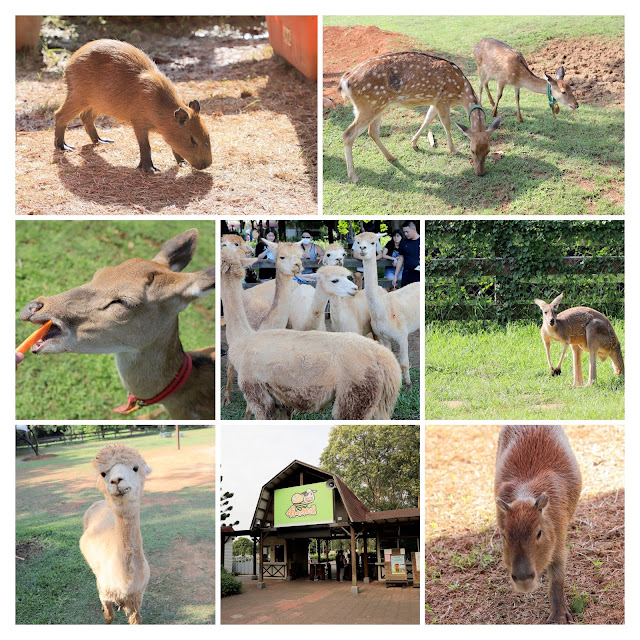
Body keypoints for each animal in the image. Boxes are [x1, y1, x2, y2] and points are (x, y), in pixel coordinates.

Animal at [340, 49, 500, 180]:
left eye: (488, 150)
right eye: (471, 150)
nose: (480, 173)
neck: (461, 93)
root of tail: (344, 82)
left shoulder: (435, 102)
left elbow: (427, 119)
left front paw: (414, 144)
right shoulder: (443, 100)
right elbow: (446, 125)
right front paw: (453, 150)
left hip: (376, 106)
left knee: (372, 131)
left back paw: (391, 157)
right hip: (369, 105)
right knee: (348, 134)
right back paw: (353, 176)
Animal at [498, 428, 584, 624]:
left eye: (539, 533)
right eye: (504, 535)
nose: (523, 579)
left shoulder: (558, 538)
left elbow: (557, 578)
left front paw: (559, 617)